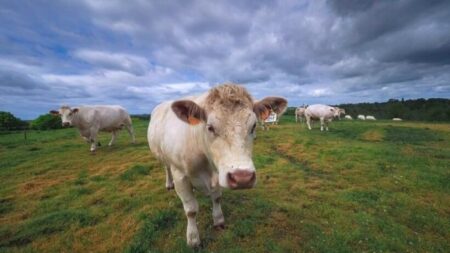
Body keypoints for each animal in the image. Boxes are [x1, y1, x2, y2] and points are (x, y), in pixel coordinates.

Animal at [148, 84, 288, 246]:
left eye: (253, 126)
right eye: (210, 127)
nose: (242, 178)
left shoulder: (219, 174)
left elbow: (216, 198)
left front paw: (218, 220)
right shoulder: (180, 176)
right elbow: (191, 210)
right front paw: (193, 237)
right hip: (163, 157)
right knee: (166, 168)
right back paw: (168, 184)